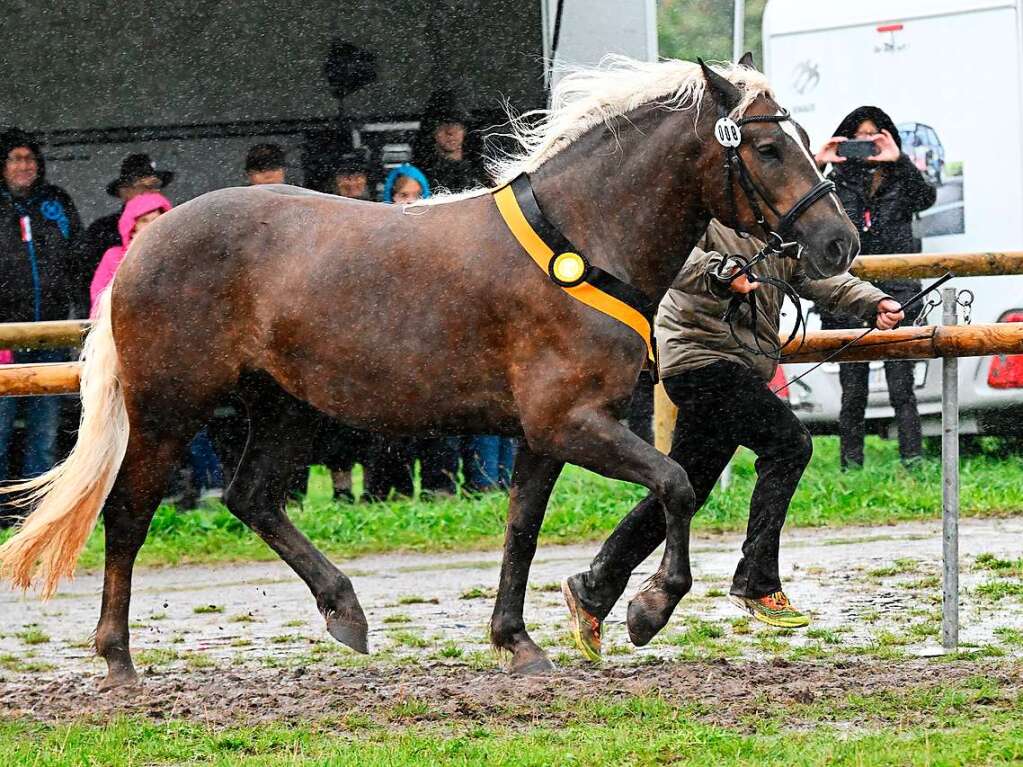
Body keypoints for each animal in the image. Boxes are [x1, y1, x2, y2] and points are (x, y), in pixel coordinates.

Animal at [0, 57, 859, 687]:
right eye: (768, 147)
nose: (838, 241)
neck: (578, 241)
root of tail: (146, 240)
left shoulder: (543, 434)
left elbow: (521, 528)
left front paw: (517, 639)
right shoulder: (572, 424)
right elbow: (676, 485)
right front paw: (647, 608)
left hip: (284, 406)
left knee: (252, 498)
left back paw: (344, 609)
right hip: (169, 411)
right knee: (128, 515)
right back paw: (117, 655)